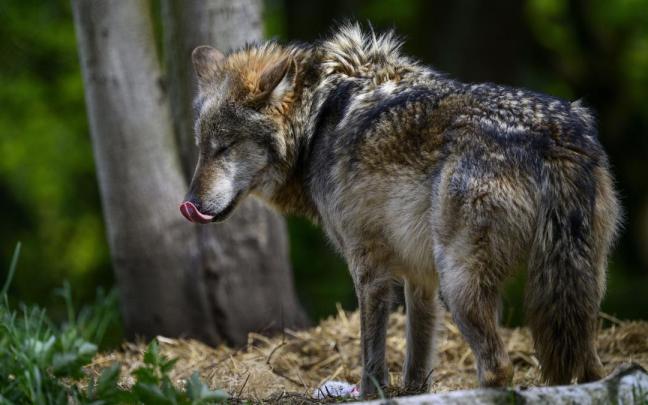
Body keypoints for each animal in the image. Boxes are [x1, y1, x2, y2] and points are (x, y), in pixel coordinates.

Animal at [179, 24, 621, 395]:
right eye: (202, 148)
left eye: (225, 148)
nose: (190, 206)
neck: (317, 119)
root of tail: (554, 136)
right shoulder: (419, 275)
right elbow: (417, 359)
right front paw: (412, 394)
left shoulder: (369, 268)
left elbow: (372, 359)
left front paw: (370, 395)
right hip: (576, 289)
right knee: (592, 369)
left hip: (460, 284)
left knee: (498, 367)